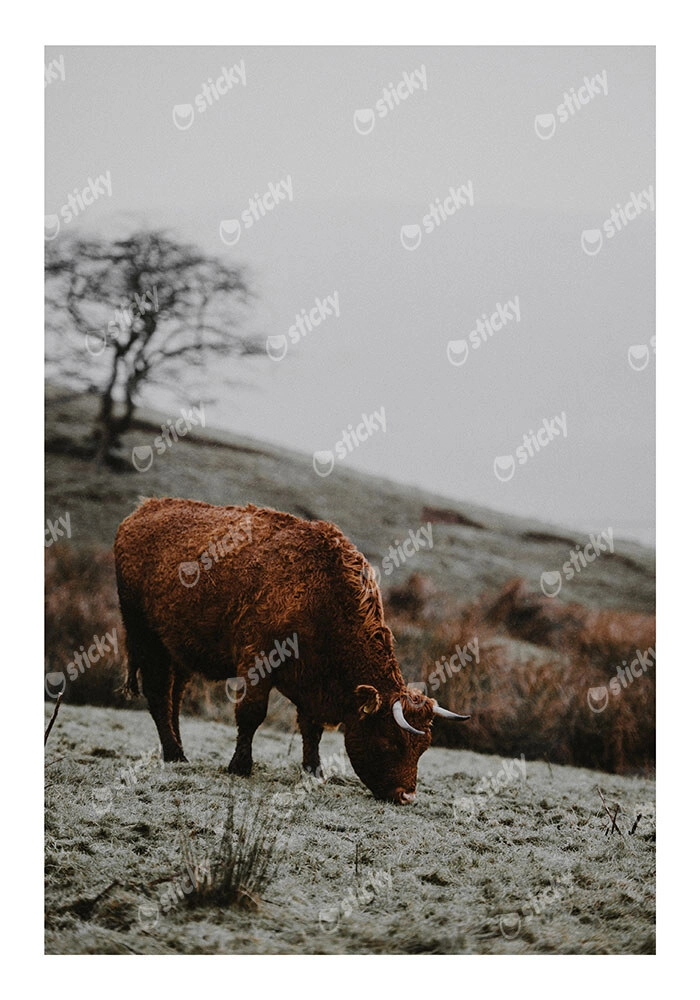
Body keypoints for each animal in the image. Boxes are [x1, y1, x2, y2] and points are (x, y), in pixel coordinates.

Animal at [114, 497, 470, 803]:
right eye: (390, 742)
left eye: (423, 747)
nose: (407, 796)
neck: (322, 593)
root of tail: (143, 510)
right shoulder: (257, 662)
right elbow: (252, 714)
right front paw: (240, 766)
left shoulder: (312, 681)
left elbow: (312, 728)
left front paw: (314, 772)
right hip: (146, 638)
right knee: (158, 693)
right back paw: (175, 753)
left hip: (179, 649)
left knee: (174, 696)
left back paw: (176, 751)